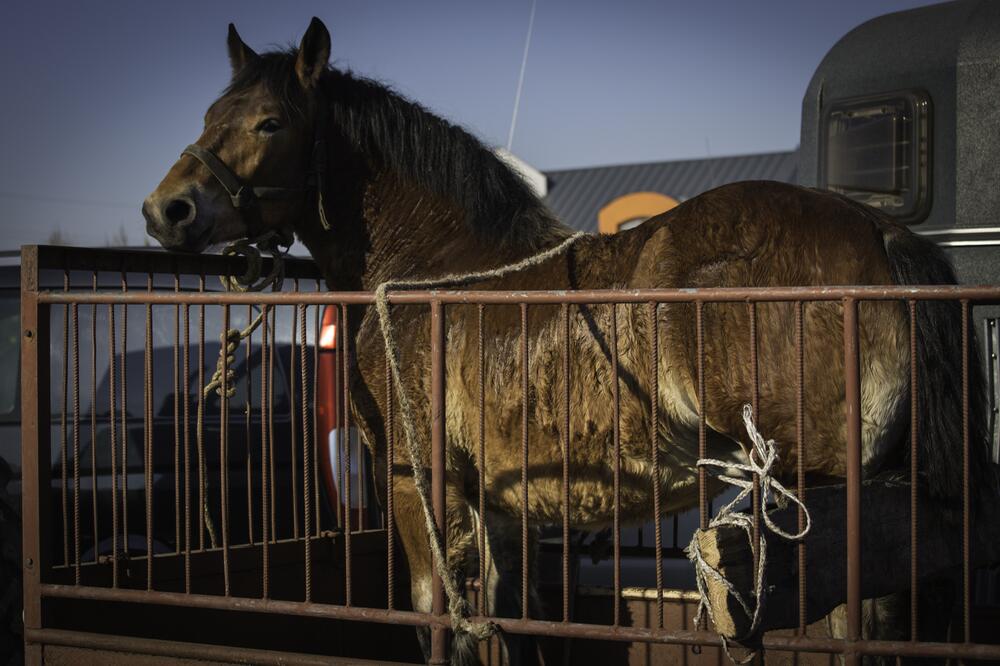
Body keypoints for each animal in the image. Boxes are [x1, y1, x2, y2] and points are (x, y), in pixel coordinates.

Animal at [145, 18, 996, 660]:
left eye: (270, 122)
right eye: (208, 118)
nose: (166, 211)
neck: (436, 271)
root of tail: (881, 235)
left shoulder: (419, 488)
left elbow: (441, 618)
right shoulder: (504, 505)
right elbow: (512, 618)